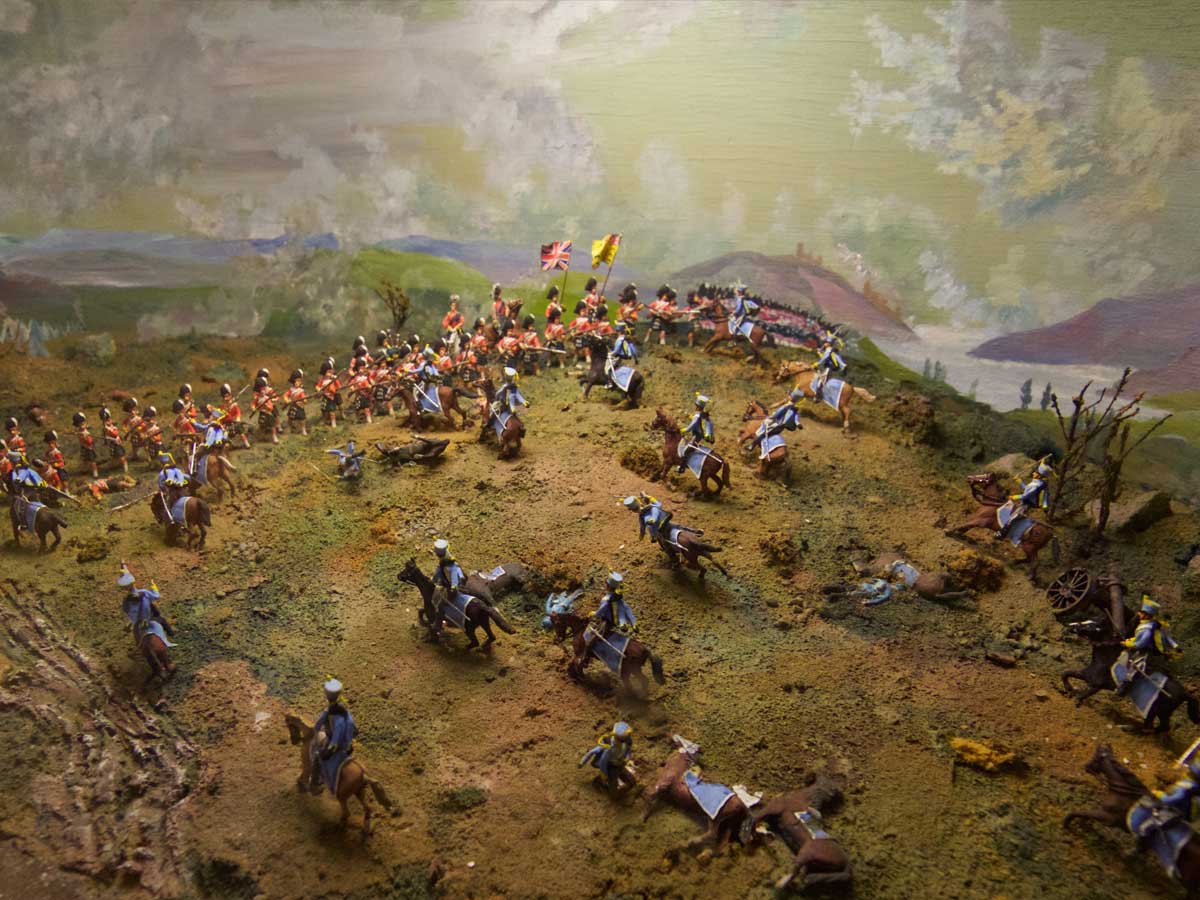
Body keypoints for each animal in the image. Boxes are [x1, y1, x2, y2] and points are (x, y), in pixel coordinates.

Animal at [1061, 618, 1200, 732]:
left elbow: (1081, 694)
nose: (1070, 626)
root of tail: (1185, 693)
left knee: (1155, 726)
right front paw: (1069, 689)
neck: (1106, 659)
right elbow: (1065, 673)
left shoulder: (1095, 685)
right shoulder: (1086, 675)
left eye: (1090, 626)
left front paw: (1076, 699)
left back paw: (1128, 728)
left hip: (1157, 710)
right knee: (1157, 726)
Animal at [1065, 744, 1200, 898]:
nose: (1086, 766)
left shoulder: (1106, 815)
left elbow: (1083, 812)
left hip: (1189, 881)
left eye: (1095, 758)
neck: (1125, 792)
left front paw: (1067, 821)